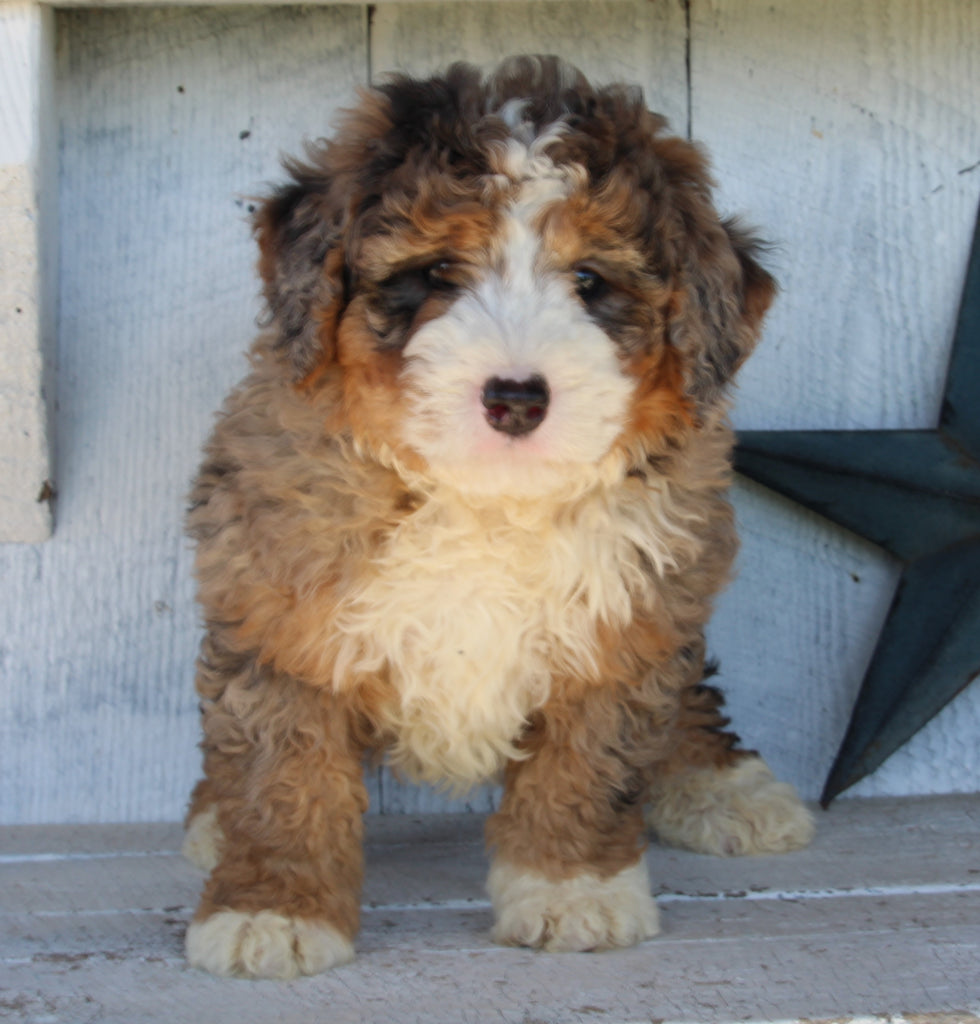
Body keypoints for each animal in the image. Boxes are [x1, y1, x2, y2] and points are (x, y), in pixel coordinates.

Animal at [181, 58, 811, 983]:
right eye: (439, 271)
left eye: (589, 282)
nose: (516, 398)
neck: (484, 499)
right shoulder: (278, 607)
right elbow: (283, 773)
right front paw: (273, 905)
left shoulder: (627, 624)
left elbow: (586, 770)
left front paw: (570, 889)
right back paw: (210, 818)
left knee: (692, 689)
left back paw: (724, 784)